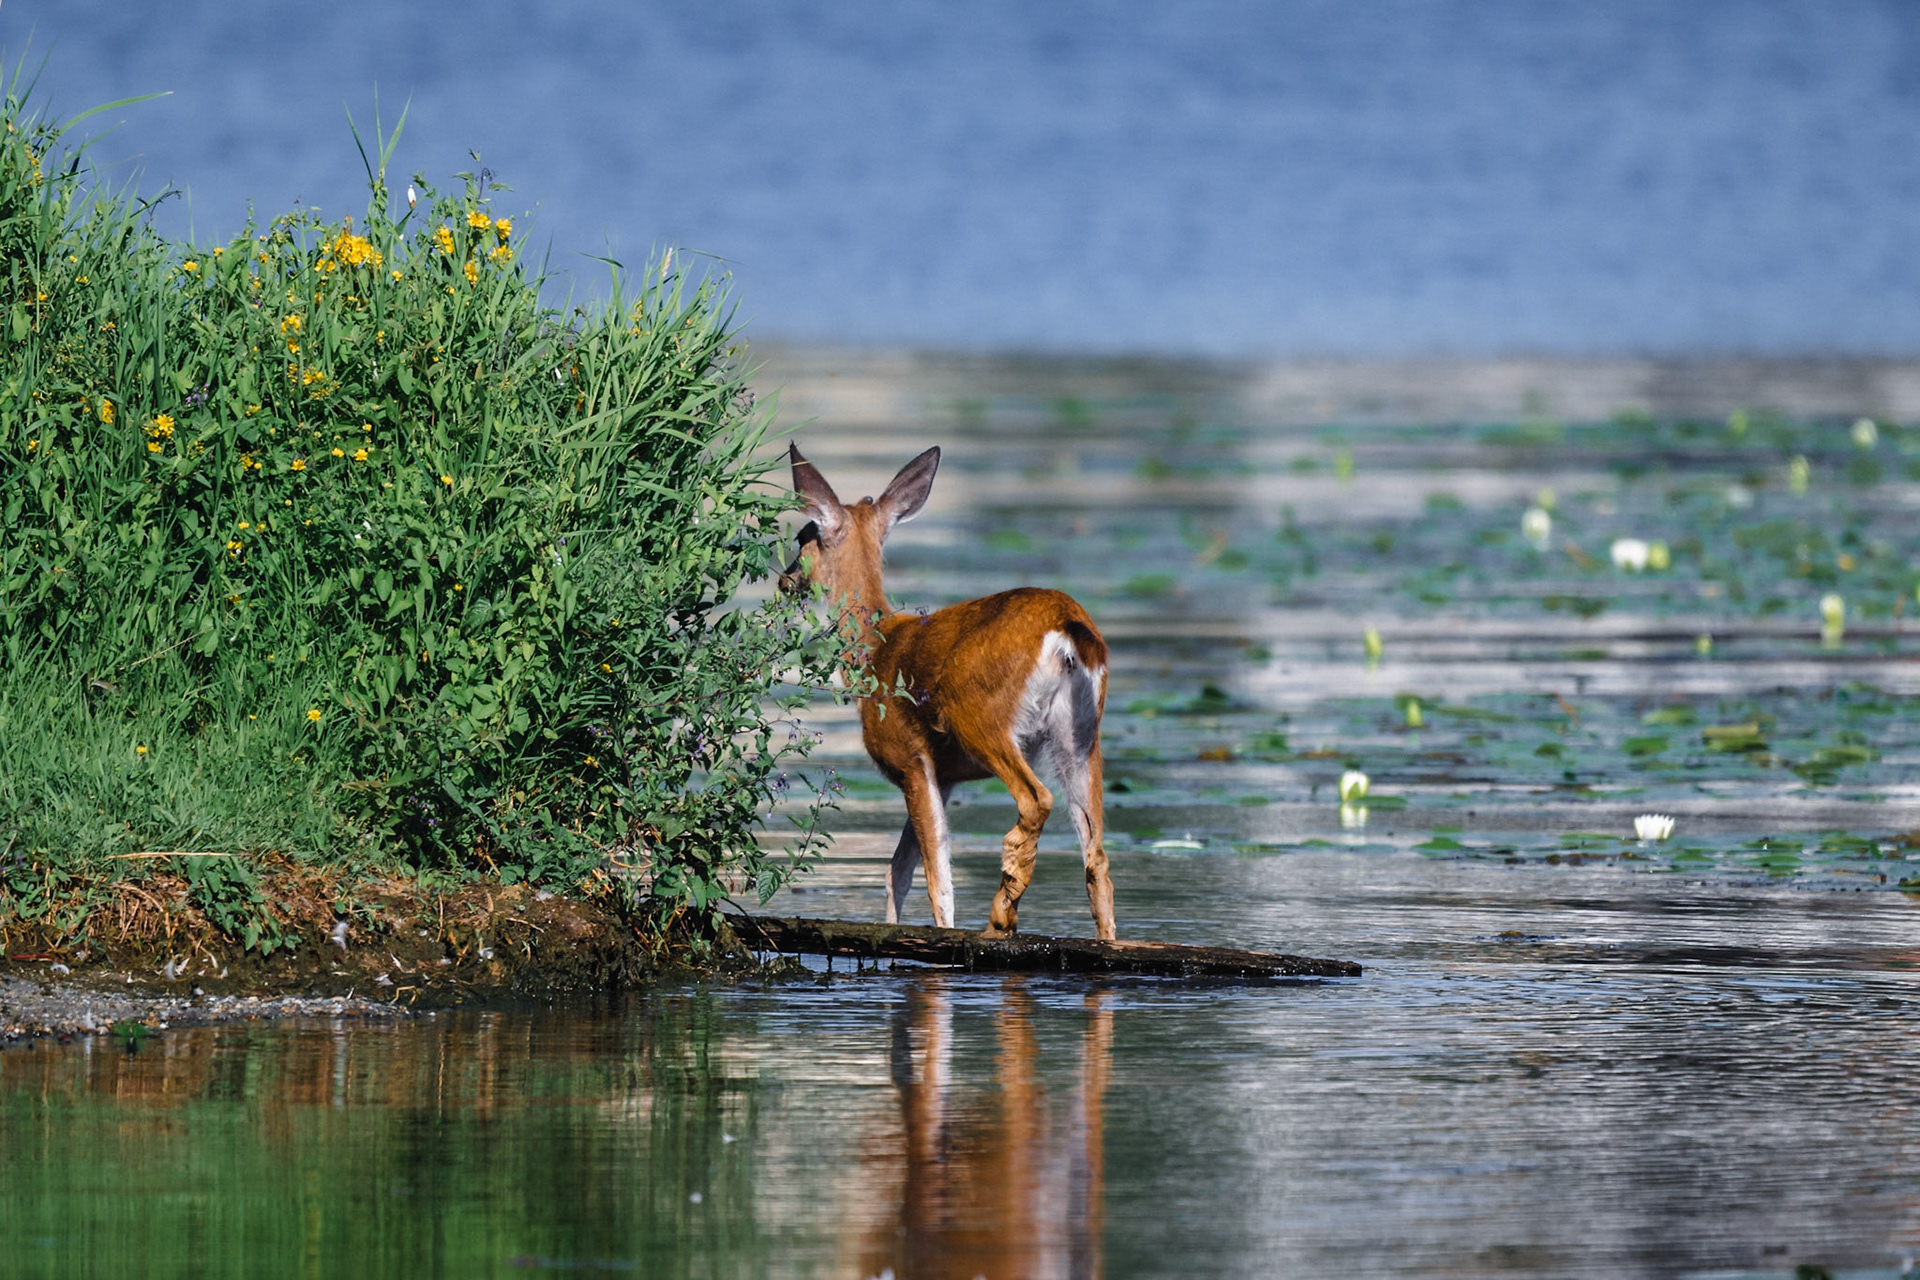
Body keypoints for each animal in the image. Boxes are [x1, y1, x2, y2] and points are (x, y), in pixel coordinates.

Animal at [782, 444, 1118, 940]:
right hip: (1081, 736)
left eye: (803, 535)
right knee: (1097, 858)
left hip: (978, 713)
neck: (874, 648)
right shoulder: (945, 775)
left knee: (1036, 800)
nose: (784, 579)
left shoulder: (909, 757)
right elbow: (898, 869)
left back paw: (1001, 913)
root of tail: (1067, 628)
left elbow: (934, 874)